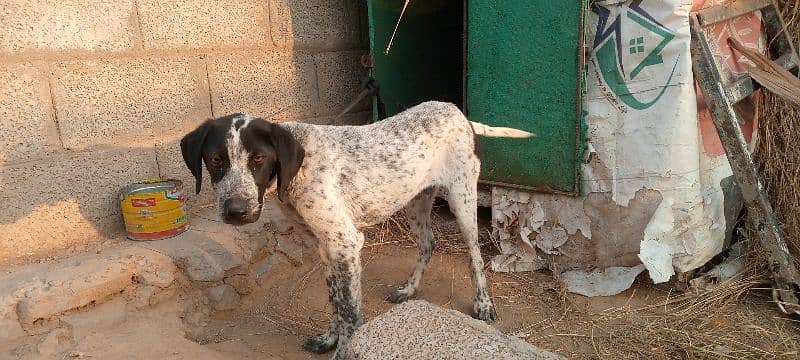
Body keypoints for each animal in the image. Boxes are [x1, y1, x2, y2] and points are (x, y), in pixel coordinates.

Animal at [179, 100, 536, 358]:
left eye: (258, 160)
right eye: (215, 160)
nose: (235, 211)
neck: (297, 169)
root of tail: (460, 114)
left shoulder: (346, 243)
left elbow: (350, 311)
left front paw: (343, 350)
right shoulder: (326, 246)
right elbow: (336, 301)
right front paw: (328, 339)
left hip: (462, 199)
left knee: (475, 256)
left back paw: (483, 304)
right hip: (415, 201)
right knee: (428, 243)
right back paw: (408, 289)